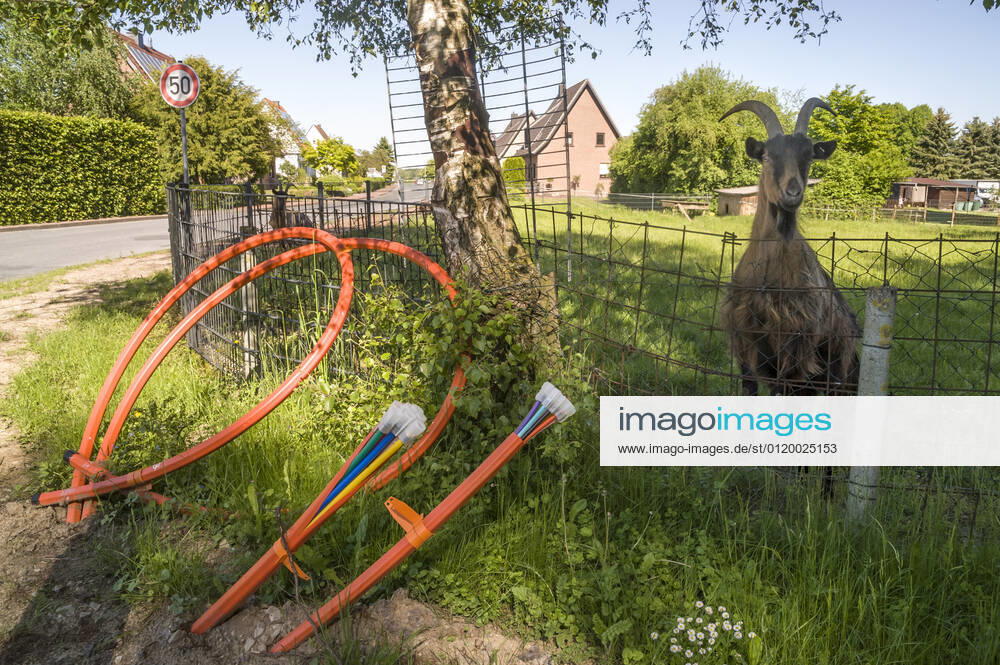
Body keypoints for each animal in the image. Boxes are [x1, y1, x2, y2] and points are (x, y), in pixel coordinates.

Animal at [719, 98, 860, 495]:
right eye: (767, 155)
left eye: (809, 154)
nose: (793, 193)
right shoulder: (746, 341)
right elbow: (751, 395)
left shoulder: (795, 350)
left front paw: (780, 477)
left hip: (837, 383)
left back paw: (824, 492)